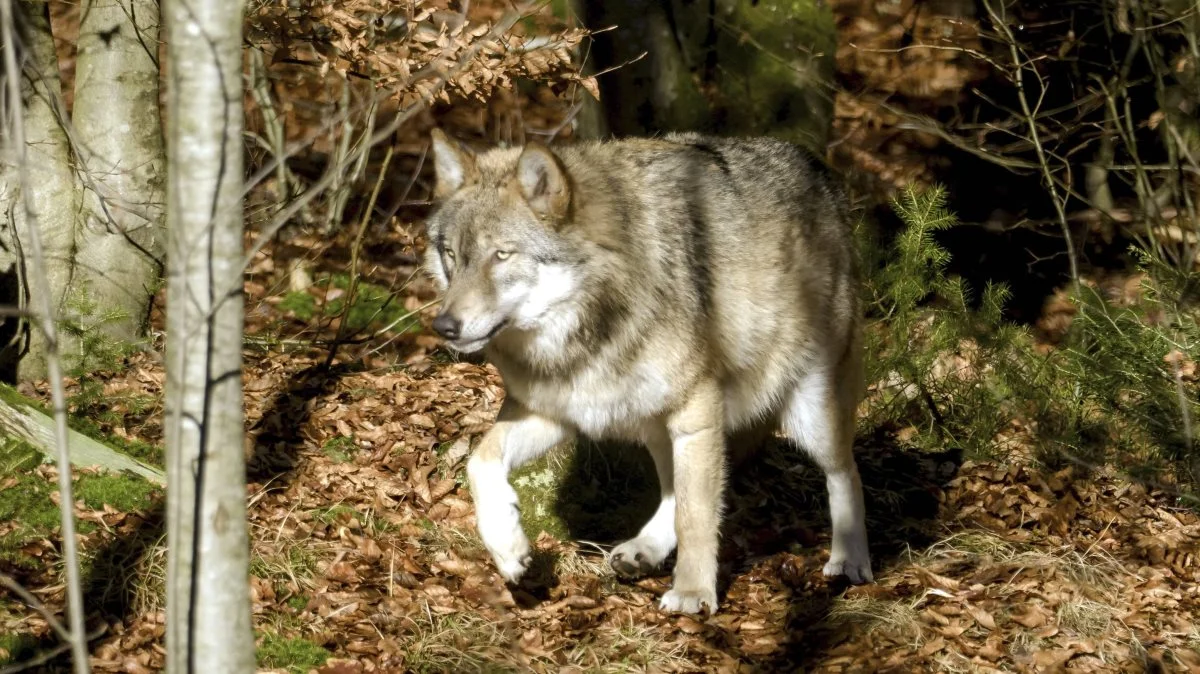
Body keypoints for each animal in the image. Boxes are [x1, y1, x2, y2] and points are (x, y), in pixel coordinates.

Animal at [422, 127, 873, 614]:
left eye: (502, 255)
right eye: (452, 255)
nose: (444, 326)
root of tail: (816, 165)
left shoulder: (697, 413)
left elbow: (696, 514)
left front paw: (692, 592)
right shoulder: (557, 410)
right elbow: (478, 462)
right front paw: (508, 548)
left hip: (810, 413)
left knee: (845, 472)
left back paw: (851, 560)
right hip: (652, 420)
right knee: (672, 489)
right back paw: (646, 549)